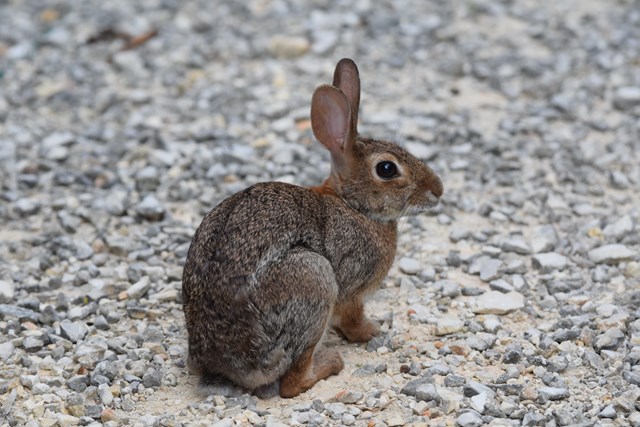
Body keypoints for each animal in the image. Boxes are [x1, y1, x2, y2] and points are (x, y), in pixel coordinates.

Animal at [182, 58, 443, 398]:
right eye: (387, 169)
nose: (438, 190)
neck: (352, 204)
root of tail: (226, 362)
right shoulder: (351, 289)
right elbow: (353, 318)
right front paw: (371, 331)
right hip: (314, 279)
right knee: (291, 383)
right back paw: (329, 364)